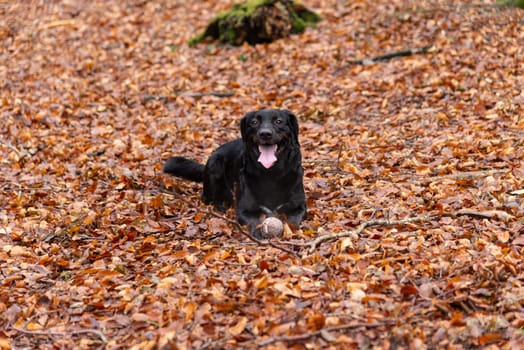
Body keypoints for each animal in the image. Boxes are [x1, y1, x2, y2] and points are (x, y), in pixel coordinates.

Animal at [164, 108, 308, 237]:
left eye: (279, 121)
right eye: (254, 122)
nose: (265, 134)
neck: (271, 173)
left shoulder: (299, 207)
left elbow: (293, 221)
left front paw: (290, 231)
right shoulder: (244, 210)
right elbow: (254, 220)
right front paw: (258, 232)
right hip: (215, 164)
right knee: (208, 198)